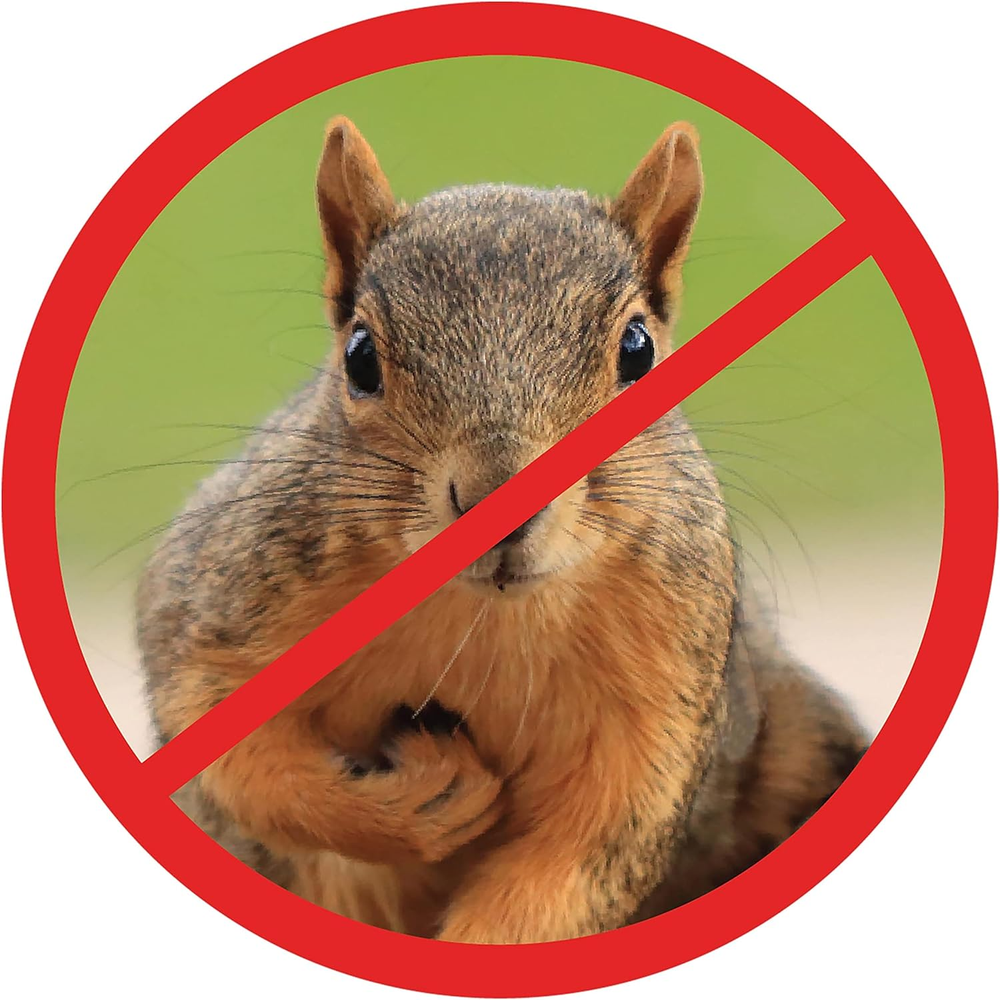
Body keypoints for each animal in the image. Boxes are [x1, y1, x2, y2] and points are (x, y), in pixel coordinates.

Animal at [137, 116, 869, 943]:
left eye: (639, 350)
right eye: (359, 356)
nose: (503, 499)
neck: (484, 617)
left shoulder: (660, 706)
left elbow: (573, 863)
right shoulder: (223, 596)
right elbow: (223, 738)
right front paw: (421, 800)